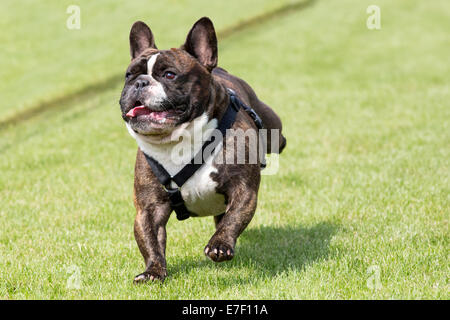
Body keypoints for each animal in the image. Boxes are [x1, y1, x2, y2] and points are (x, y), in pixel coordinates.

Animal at [118, 17, 284, 282]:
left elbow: (235, 217)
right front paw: (153, 271)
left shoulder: (243, 190)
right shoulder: (148, 208)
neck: (178, 141)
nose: (140, 82)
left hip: (273, 130)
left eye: (170, 74)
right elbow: (150, 240)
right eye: (128, 75)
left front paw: (220, 245)